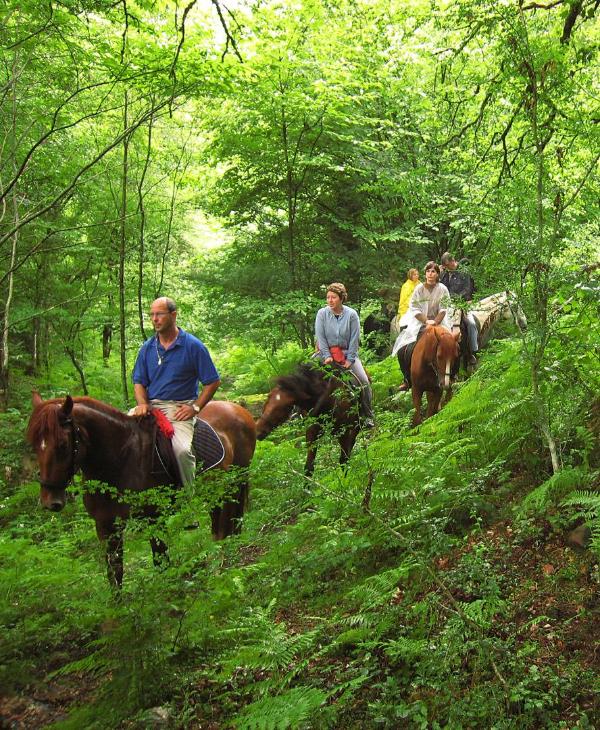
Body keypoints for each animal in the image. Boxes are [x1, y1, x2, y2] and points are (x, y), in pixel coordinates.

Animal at [26, 392, 255, 584]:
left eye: (63, 445)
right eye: (35, 445)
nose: (50, 501)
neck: (120, 460)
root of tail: (239, 409)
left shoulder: (154, 519)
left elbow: (161, 561)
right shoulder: (106, 525)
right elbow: (115, 573)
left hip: (231, 485)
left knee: (225, 525)